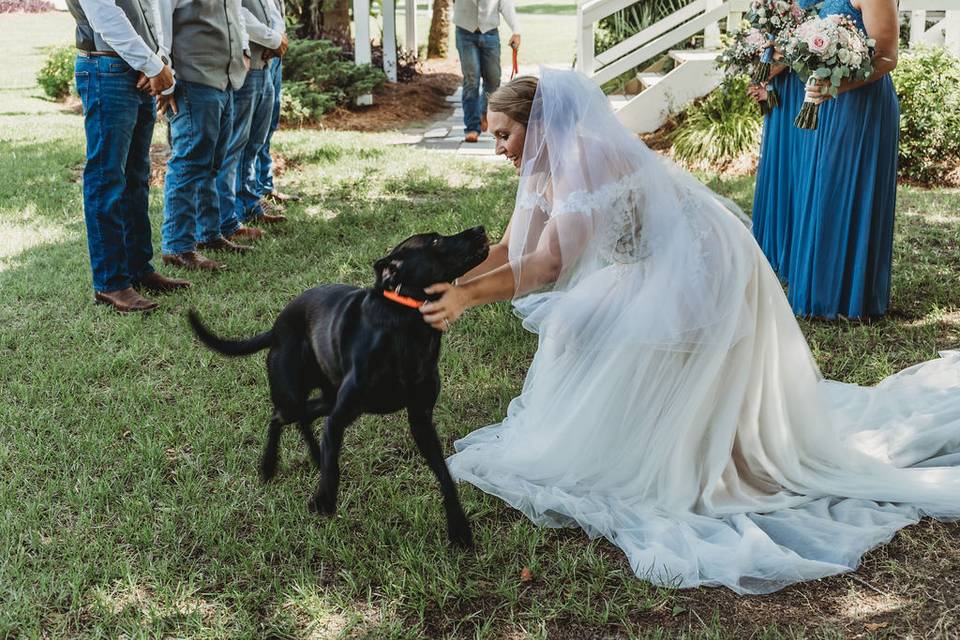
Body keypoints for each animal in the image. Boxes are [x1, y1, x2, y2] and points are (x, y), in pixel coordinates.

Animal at [189, 226, 488, 552]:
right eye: (434, 241)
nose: (480, 229)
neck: (406, 322)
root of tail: (276, 328)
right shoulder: (341, 417)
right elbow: (333, 465)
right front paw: (324, 499)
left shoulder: (420, 420)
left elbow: (444, 474)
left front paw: (459, 528)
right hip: (299, 397)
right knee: (279, 417)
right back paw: (269, 466)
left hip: (326, 399)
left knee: (302, 420)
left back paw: (312, 456)